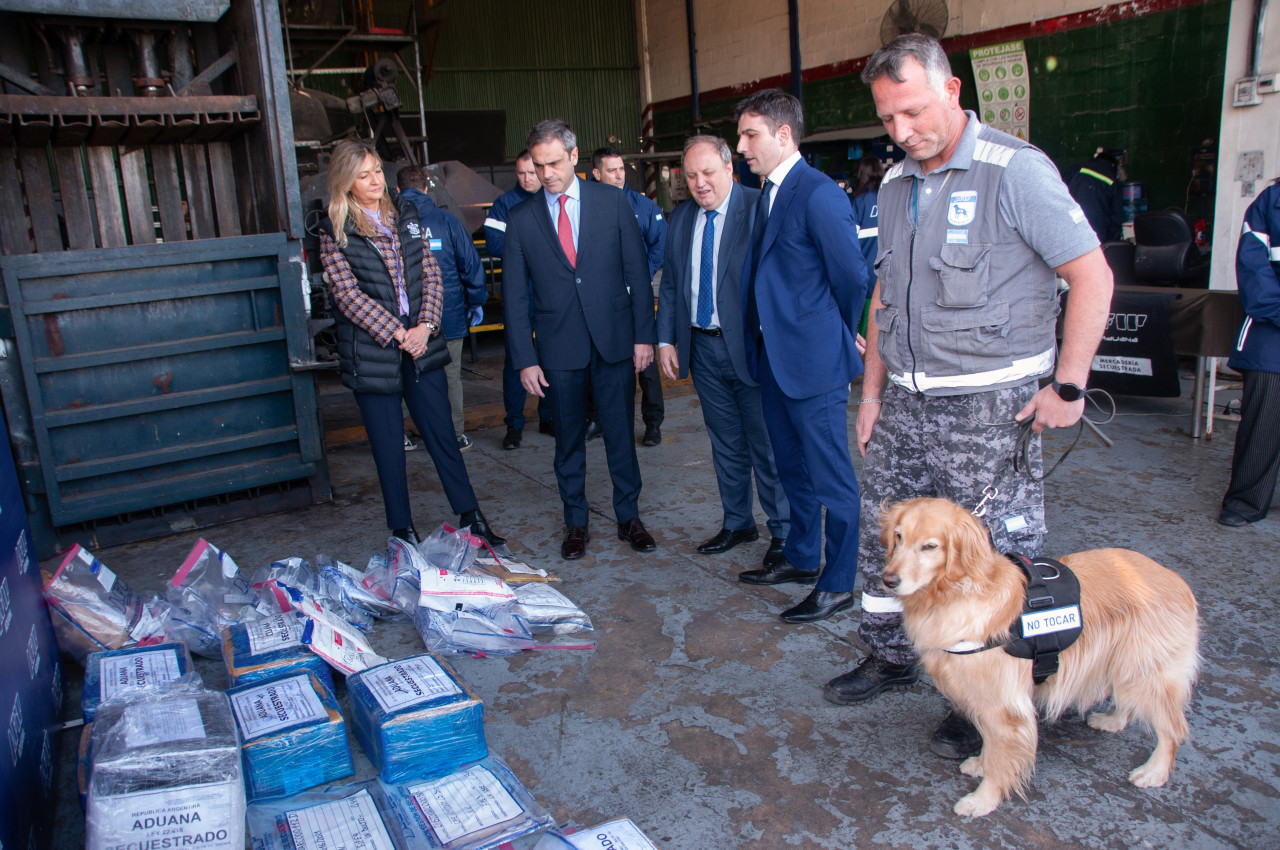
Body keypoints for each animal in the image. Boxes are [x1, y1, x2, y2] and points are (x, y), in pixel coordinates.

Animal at [880, 499, 1198, 819]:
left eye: (930, 546)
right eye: (898, 536)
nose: (888, 580)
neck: (956, 591)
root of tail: (1175, 578)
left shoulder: (1002, 703)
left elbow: (1000, 754)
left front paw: (984, 799)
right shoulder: (984, 697)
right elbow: (991, 743)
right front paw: (982, 763)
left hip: (1146, 669)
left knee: (1173, 728)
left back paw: (1155, 771)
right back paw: (1113, 721)